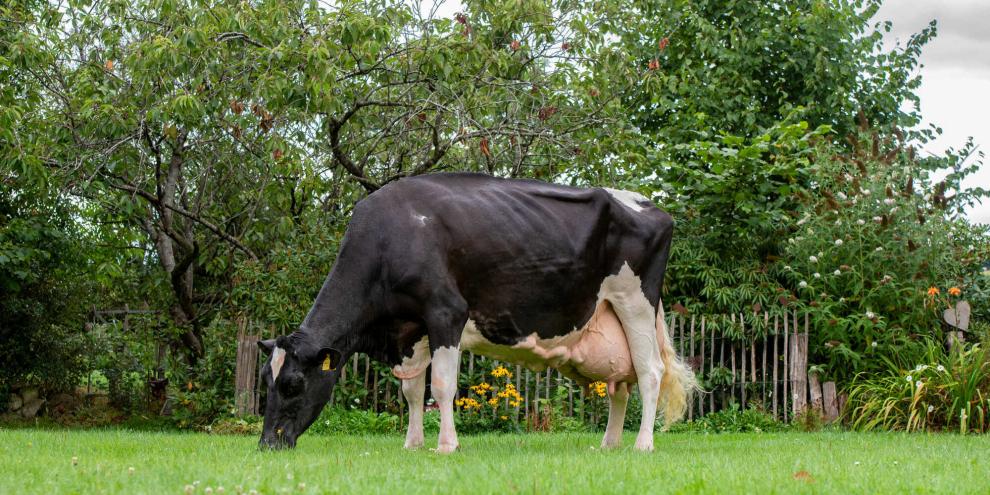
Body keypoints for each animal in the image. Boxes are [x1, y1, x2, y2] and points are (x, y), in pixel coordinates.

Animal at [257, 173, 696, 452]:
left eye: (293, 384)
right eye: (266, 380)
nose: (266, 444)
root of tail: (650, 205)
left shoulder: (445, 313)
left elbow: (442, 387)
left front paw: (446, 446)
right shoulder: (411, 329)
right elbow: (411, 391)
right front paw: (413, 444)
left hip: (635, 302)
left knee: (650, 373)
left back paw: (642, 445)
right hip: (611, 318)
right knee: (619, 385)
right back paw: (609, 444)